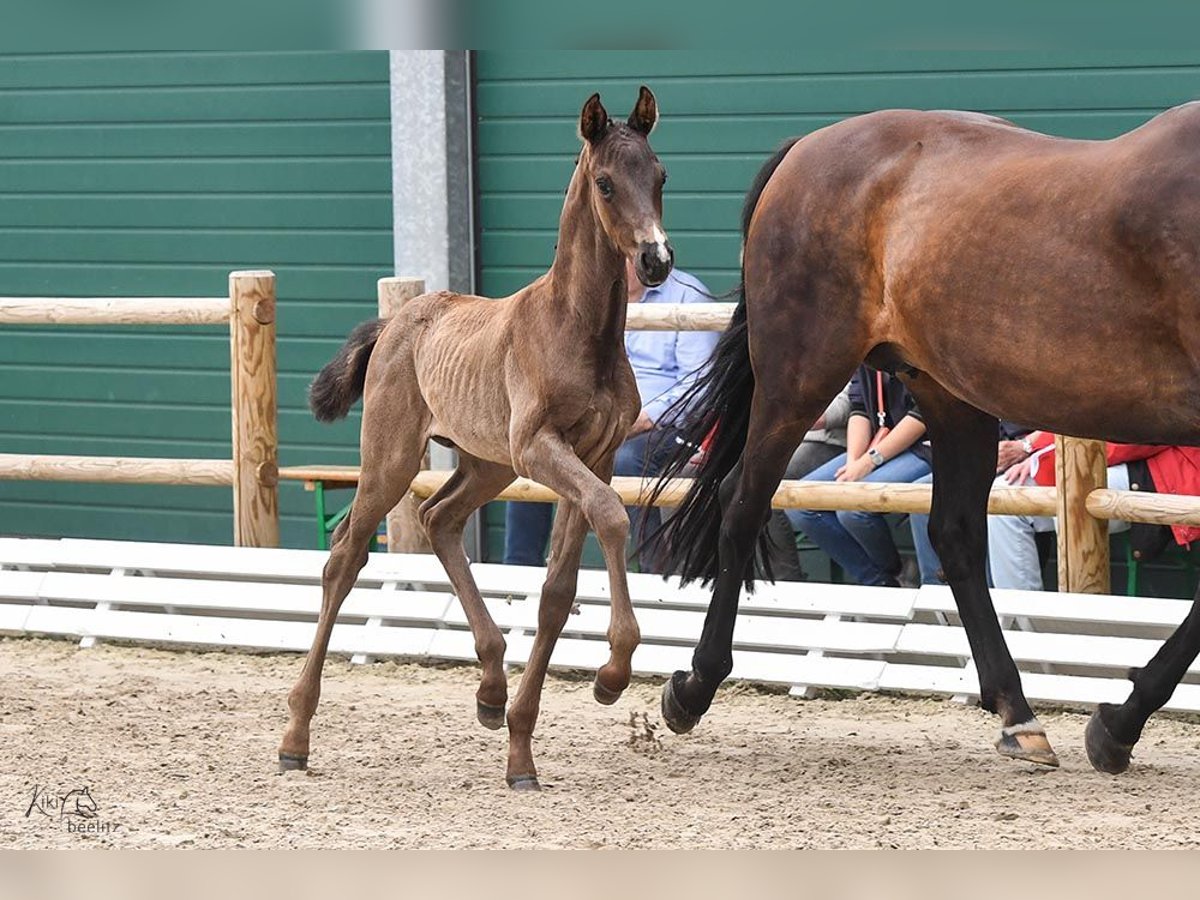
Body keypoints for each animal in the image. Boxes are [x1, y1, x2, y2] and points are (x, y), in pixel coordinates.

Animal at [280, 84, 676, 787]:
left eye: (659, 176)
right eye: (605, 182)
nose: (656, 260)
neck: (580, 331)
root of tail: (395, 321)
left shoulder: (594, 456)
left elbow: (557, 591)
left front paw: (521, 749)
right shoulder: (540, 447)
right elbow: (612, 516)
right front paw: (611, 675)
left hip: (486, 464)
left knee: (439, 518)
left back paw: (491, 689)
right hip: (395, 457)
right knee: (346, 552)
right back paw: (295, 736)